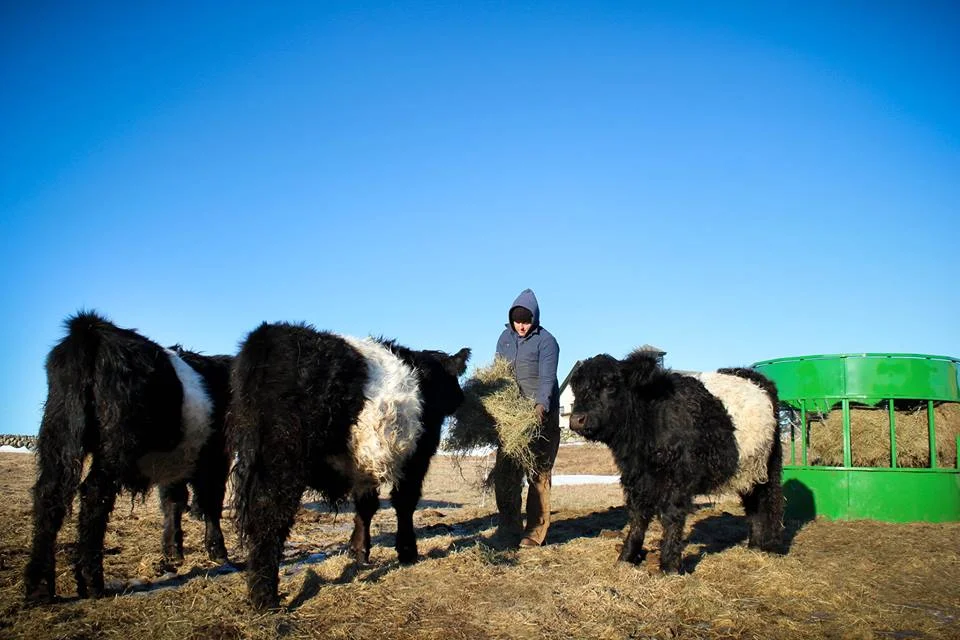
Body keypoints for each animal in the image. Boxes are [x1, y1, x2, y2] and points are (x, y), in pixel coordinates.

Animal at [25, 311, 232, 603]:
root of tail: (92, 330)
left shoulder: (178, 461)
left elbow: (174, 502)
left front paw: (173, 552)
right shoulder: (215, 458)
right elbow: (209, 503)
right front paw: (218, 551)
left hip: (59, 433)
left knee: (49, 494)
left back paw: (39, 587)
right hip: (115, 447)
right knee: (94, 495)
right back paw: (92, 581)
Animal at [229, 321, 470, 610]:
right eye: (453, 379)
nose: (461, 397)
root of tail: (267, 336)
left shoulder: (363, 463)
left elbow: (366, 506)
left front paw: (359, 552)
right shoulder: (419, 455)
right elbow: (405, 503)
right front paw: (407, 551)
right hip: (282, 461)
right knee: (268, 516)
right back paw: (265, 598)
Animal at [569, 350, 784, 574]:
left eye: (609, 385)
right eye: (577, 387)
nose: (576, 419)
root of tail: (750, 374)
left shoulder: (678, 478)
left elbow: (671, 516)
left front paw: (669, 565)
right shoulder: (636, 478)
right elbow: (638, 517)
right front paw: (626, 558)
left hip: (770, 462)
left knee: (771, 499)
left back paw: (772, 546)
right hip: (747, 468)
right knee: (753, 503)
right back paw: (754, 545)